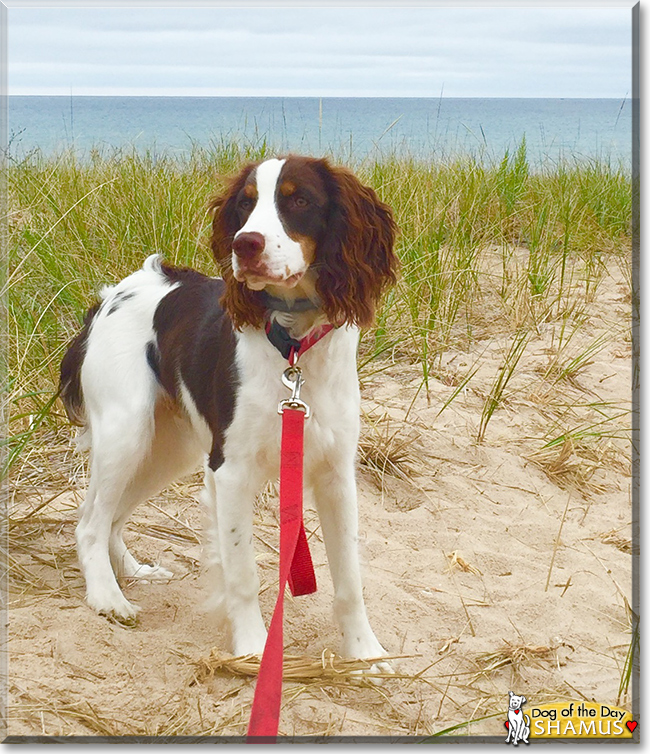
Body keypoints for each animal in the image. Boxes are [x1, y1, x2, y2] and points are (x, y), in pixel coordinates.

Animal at [60, 156, 398, 668]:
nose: (245, 244)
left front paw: (364, 653)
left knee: (113, 517)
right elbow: (242, 573)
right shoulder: (231, 470)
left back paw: (133, 572)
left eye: (299, 200)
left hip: (169, 450)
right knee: (90, 523)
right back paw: (108, 597)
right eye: (245, 203)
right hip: (127, 432)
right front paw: (253, 650)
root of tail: (111, 295)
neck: (292, 345)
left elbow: (349, 578)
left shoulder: (336, 473)